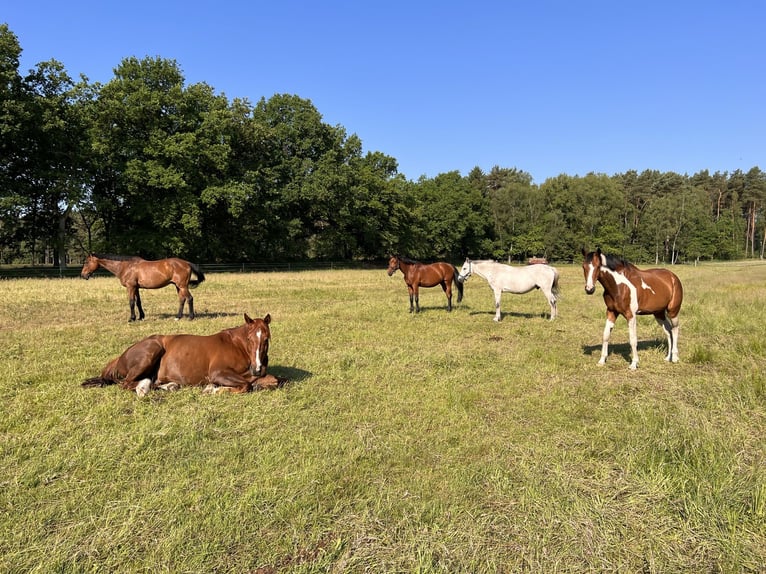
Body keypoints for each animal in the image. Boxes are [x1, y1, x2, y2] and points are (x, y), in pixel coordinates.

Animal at [84, 316, 286, 396]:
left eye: (267, 338)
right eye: (250, 338)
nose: (257, 368)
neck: (238, 346)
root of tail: (119, 358)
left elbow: (275, 380)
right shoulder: (218, 373)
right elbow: (245, 385)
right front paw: (214, 390)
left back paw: (169, 386)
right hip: (151, 351)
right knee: (127, 383)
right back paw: (144, 389)